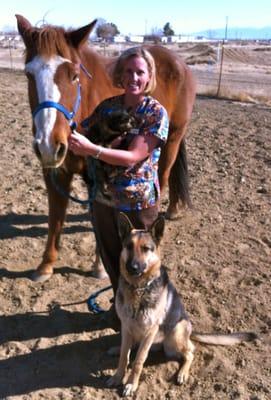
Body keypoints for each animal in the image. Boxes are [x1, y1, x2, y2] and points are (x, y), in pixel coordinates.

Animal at [15, 13, 197, 282]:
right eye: (29, 74)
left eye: (74, 74)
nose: (48, 143)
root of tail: (178, 62)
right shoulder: (56, 172)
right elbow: (55, 217)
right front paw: (45, 265)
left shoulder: (98, 176)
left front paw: (99, 266)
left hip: (173, 138)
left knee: (163, 177)